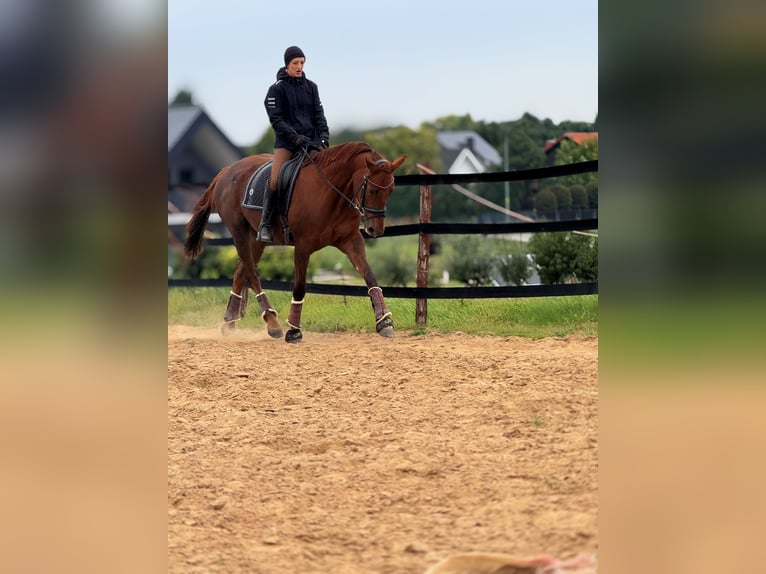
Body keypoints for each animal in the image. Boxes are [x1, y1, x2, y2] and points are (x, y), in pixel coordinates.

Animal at [184, 141, 407, 343]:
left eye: (391, 190)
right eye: (373, 190)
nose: (375, 230)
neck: (330, 192)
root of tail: (227, 170)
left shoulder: (351, 240)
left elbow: (370, 276)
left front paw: (384, 322)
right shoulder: (303, 246)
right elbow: (299, 287)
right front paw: (293, 330)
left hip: (256, 238)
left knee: (241, 271)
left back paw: (230, 322)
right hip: (239, 232)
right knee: (252, 274)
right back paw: (272, 323)